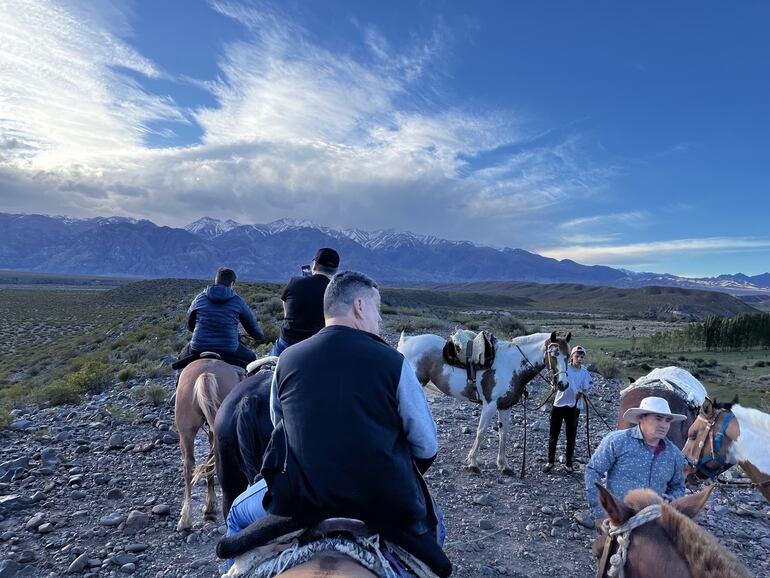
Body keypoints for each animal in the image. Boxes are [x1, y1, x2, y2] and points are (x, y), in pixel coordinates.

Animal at [396, 328, 568, 472]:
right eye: (554, 354)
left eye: (567, 357)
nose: (563, 384)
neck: (511, 364)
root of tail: (406, 341)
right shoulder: (489, 406)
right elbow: (481, 432)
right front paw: (473, 463)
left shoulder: (505, 406)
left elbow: (504, 434)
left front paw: (503, 465)